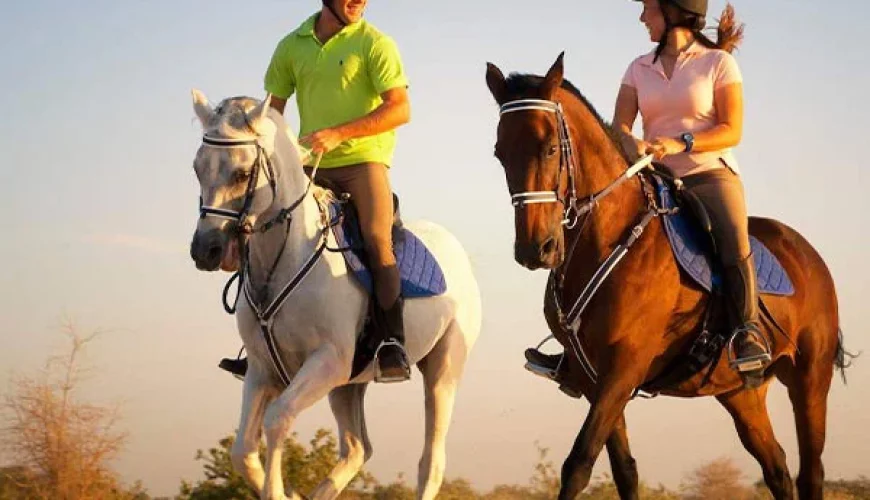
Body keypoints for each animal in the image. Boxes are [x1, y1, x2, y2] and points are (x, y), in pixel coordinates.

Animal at [189, 91, 484, 500]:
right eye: (197, 168)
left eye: (242, 173)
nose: (206, 250)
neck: (287, 255)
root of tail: (455, 249)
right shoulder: (262, 371)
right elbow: (242, 450)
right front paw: (289, 493)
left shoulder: (328, 361)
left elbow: (277, 419)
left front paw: (280, 492)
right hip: (348, 386)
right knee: (358, 448)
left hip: (443, 369)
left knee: (431, 462)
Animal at [488, 52, 856, 498]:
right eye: (499, 153)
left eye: (550, 148)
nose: (535, 249)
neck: (606, 238)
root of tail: (807, 253)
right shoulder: (594, 377)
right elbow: (624, 470)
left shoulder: (624, 368)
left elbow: (578, 463)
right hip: (740, 393)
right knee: (777, 469)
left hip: (810, 378)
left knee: (811, 470)